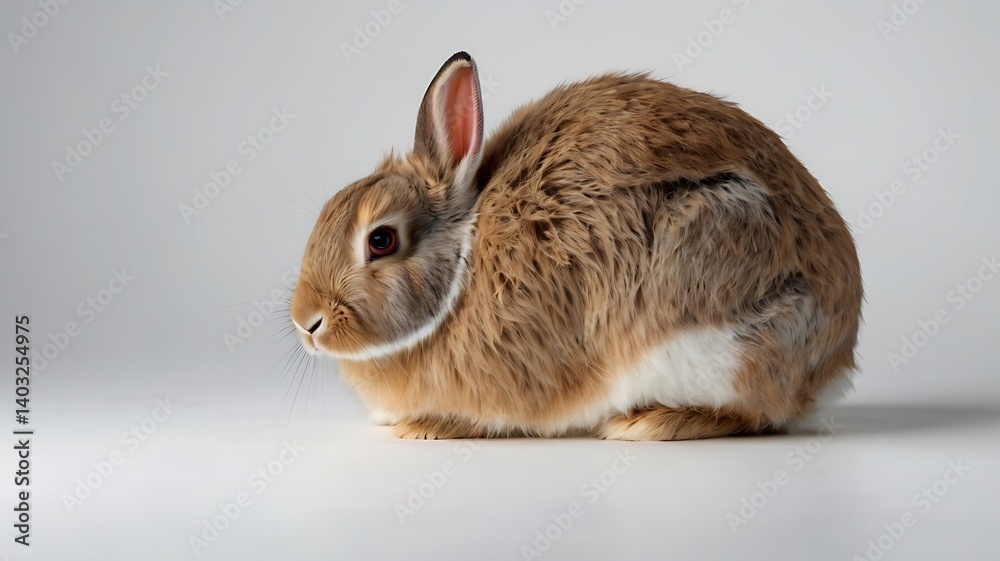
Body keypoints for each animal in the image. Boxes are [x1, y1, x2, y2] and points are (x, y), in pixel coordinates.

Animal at [289, 51, 862, 440]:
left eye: (381, 240)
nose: (306, 322)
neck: (461, 268)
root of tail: (833, 359)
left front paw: (426, 428)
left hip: (714, 319)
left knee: (754, 413)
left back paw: (649, 424)